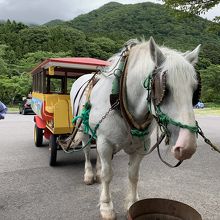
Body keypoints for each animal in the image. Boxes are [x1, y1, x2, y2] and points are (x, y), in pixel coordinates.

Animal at [70, 37, 201, 219]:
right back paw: (89, 174)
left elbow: (133, 175)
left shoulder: (140, 147)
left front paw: (132, 203)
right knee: (87, 151)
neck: (120, 99)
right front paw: (106, 206)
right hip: (84, 129)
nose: (187, 146)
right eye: (165, 89)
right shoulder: (105, 142)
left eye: (194, 90)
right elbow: (107, 174)